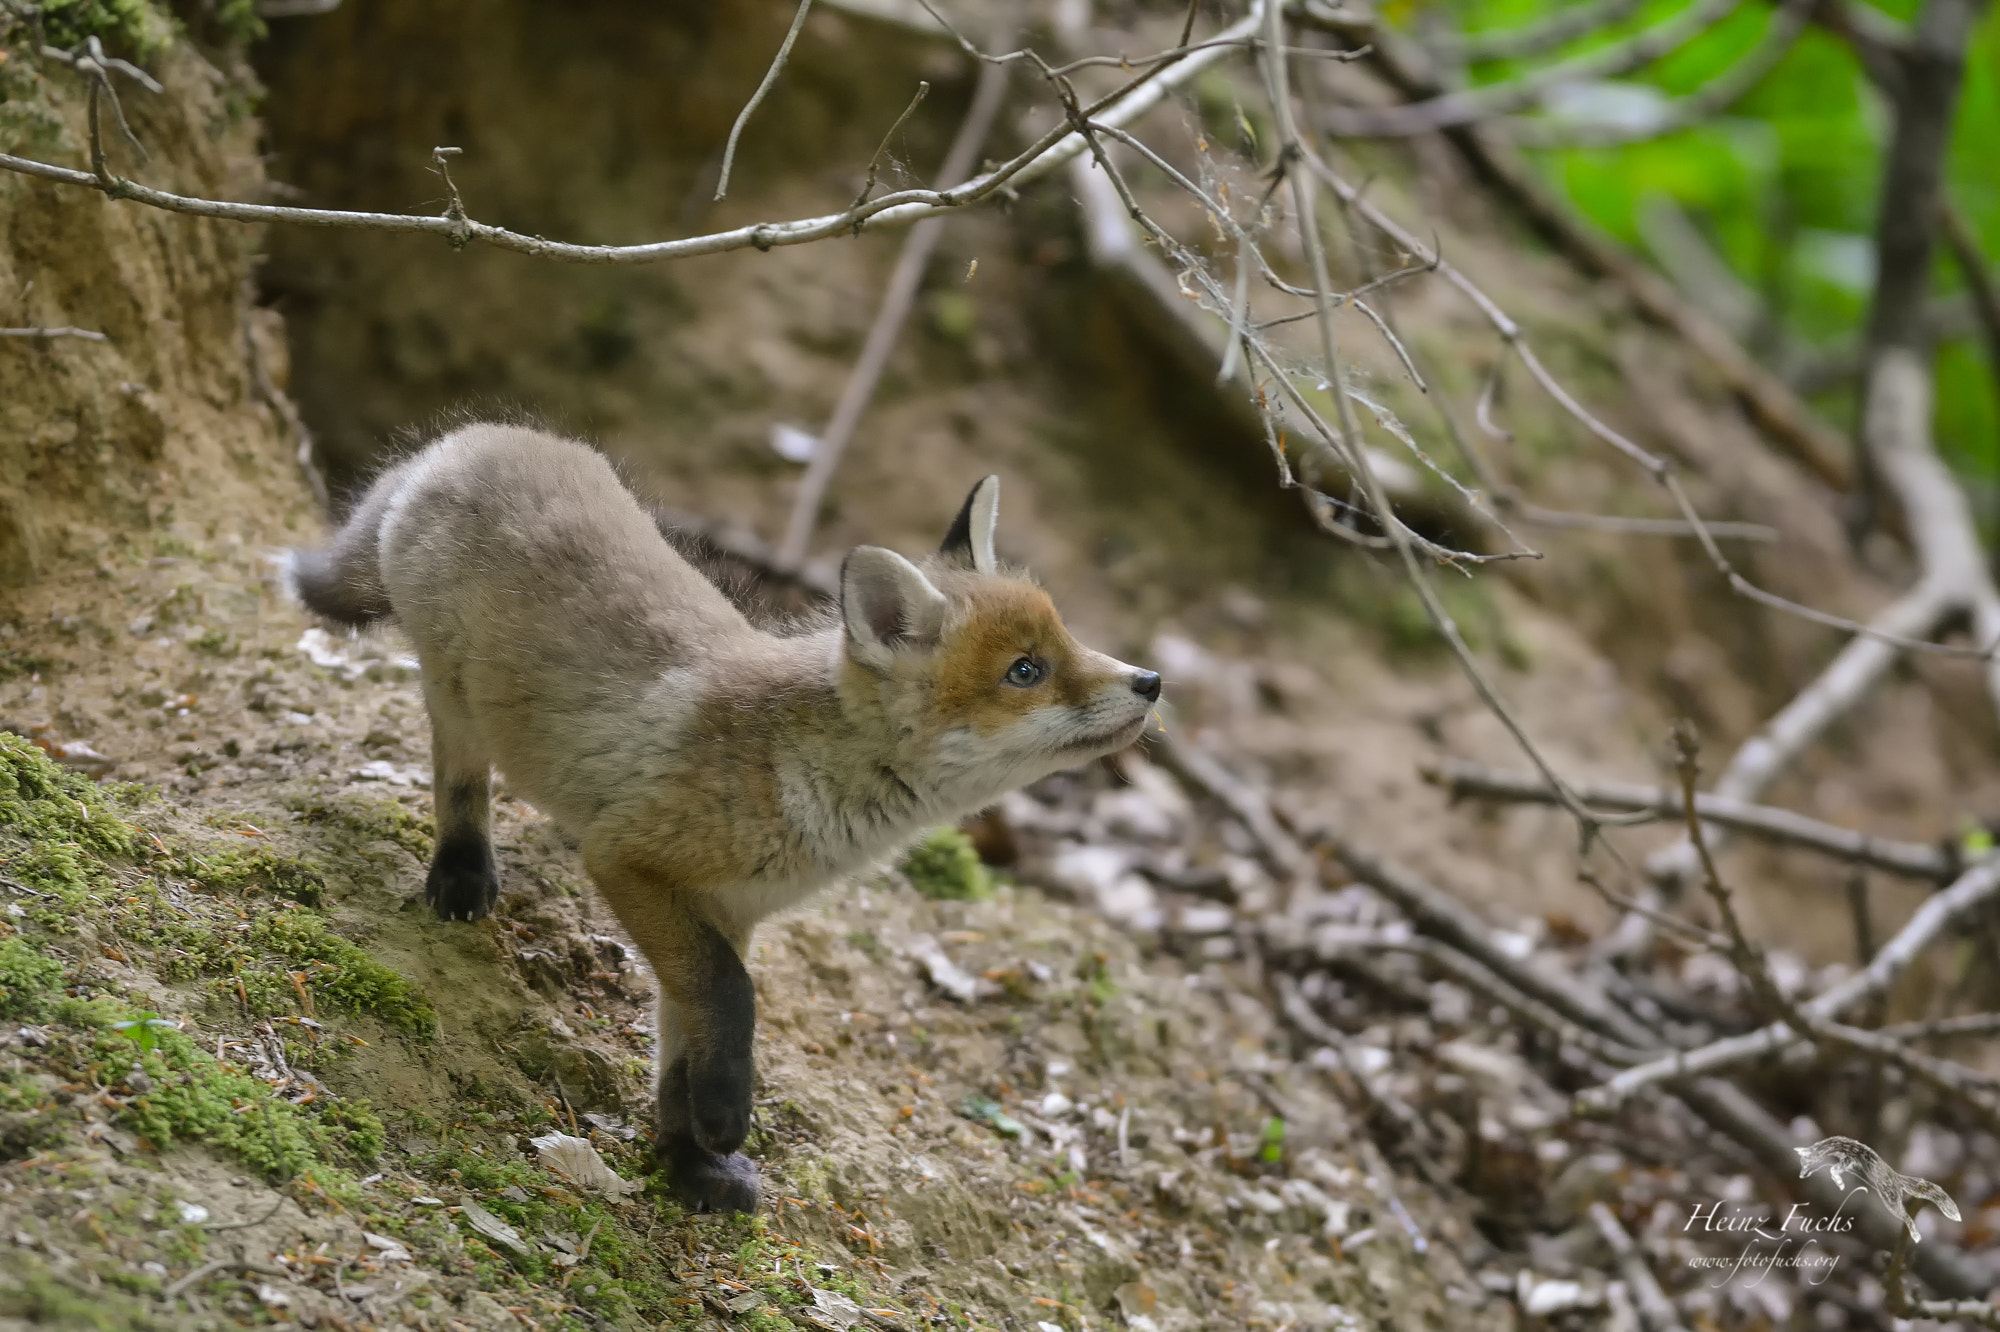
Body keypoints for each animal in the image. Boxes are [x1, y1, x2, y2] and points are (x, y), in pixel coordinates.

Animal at [285, 423, 1161, 1213]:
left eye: (1067, 638)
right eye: (1027, 671)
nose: (1151, 681)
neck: (801, 782)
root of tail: (470, 438)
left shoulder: (727, 909)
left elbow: (688, 1033)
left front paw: (687, 1159)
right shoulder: (629, 859)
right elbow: (733, 998)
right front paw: (723, 1118)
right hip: (456, 698)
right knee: (459, 779)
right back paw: (463, 870)